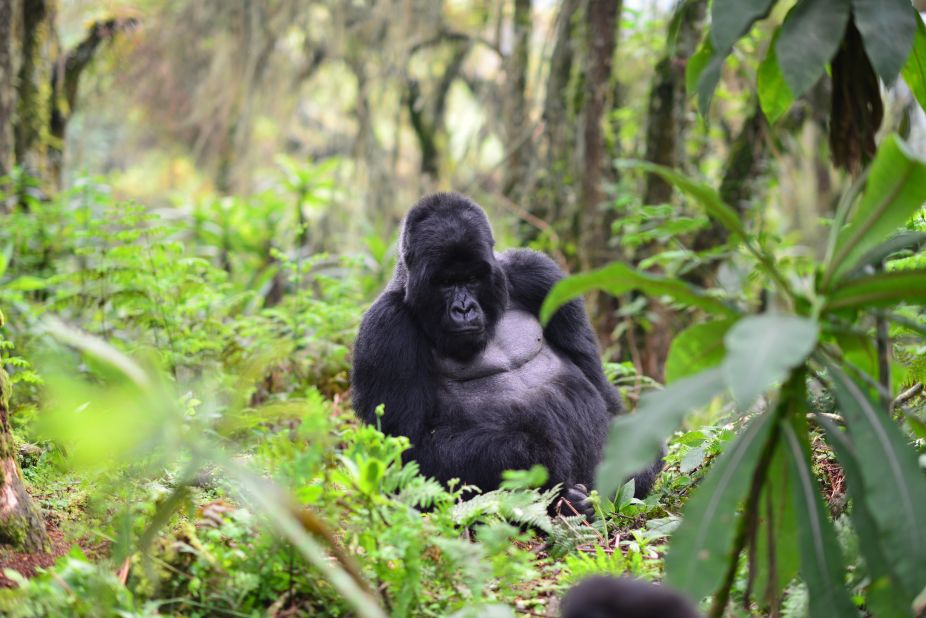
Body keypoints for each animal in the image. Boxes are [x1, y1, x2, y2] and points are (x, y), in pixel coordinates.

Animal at [352, 194, 664, 506]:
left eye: (472, 279)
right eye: (445, 283)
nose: (463, 309)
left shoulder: (540, 274)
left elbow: (597, 382)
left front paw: (640, 458)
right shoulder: (386, 329)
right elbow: (408, 452)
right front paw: (535, 453)